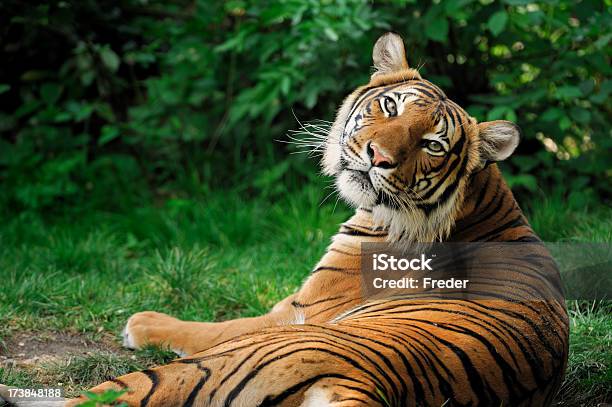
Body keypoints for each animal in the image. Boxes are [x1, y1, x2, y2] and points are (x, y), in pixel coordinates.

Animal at [0, 32, 568, 407]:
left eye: (432, 144)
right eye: (389, 106)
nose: (378, 158)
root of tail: (363, 386)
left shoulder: (296, 311)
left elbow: (210, 325)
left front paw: (141, 323)